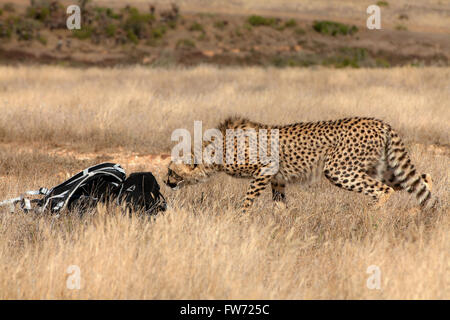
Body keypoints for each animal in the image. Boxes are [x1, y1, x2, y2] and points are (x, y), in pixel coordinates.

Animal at [164, 116, 432, 211]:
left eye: (170, 170)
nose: (166, 182)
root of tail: (380, 122)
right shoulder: (277, 179)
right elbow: (279, 204)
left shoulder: (266, 168)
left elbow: (248, 199)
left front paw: (241, 219)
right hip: (378, 167)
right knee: (422, 180)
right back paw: (425, 215)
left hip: (339, 169)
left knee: (384, 190)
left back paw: (371, 215)